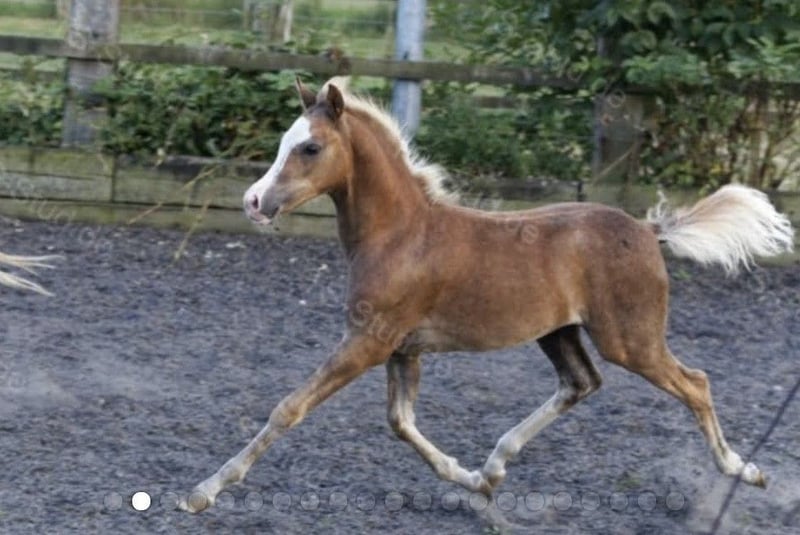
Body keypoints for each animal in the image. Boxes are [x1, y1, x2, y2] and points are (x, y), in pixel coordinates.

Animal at [179, 77, 795, 513]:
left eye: (308, 147)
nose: (253, 202)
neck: (400, 234)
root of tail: (648, 230)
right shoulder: (403, 349)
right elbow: (401, 423)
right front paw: (470, 478)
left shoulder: (368, 342)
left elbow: (290, 407)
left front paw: (204, 491)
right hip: (559, 332)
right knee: (581, 383)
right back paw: (496, 465)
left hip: (631, 338)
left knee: (695, 383)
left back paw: (743, 471)